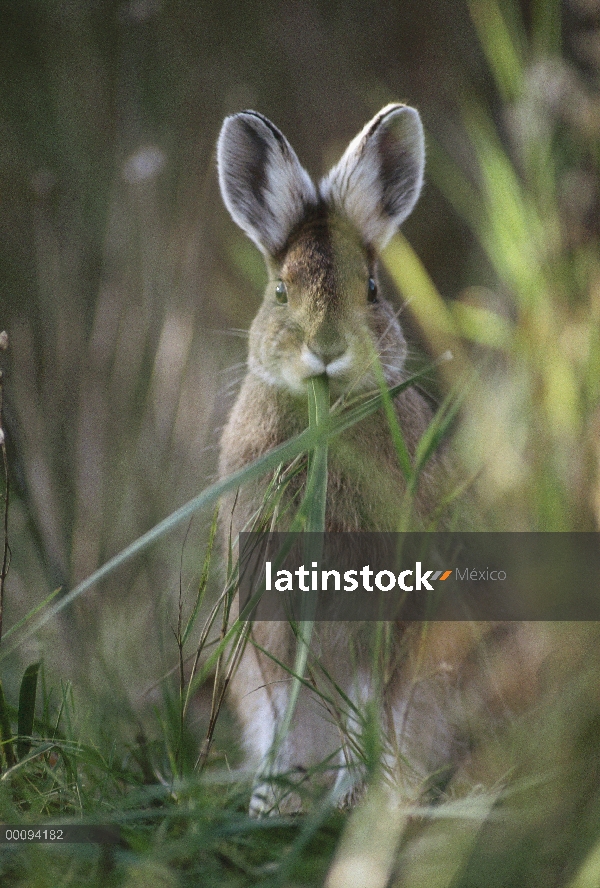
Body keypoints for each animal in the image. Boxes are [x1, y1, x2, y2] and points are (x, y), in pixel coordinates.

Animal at [218, 104, 458, 812]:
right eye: (279, 291)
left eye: (372, 288)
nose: (325, 349)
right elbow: (281, 707)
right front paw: (275, 805)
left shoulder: (383, 613)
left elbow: (365, 703)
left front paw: (354, 802)